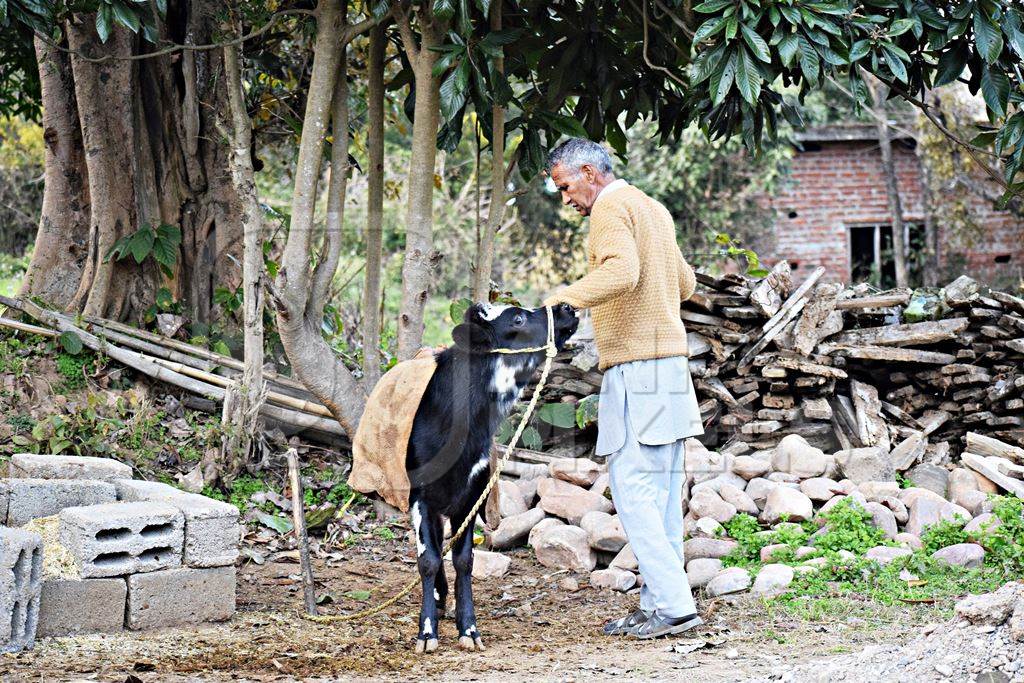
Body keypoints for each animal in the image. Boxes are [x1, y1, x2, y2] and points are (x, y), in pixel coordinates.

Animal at [409, 303, 585, 651]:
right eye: (517, 318)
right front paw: (427, 632)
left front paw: (469, 629)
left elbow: (463, 560)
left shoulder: (472, 495)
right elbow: (428, 560)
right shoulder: (419, 497)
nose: (566, 307)